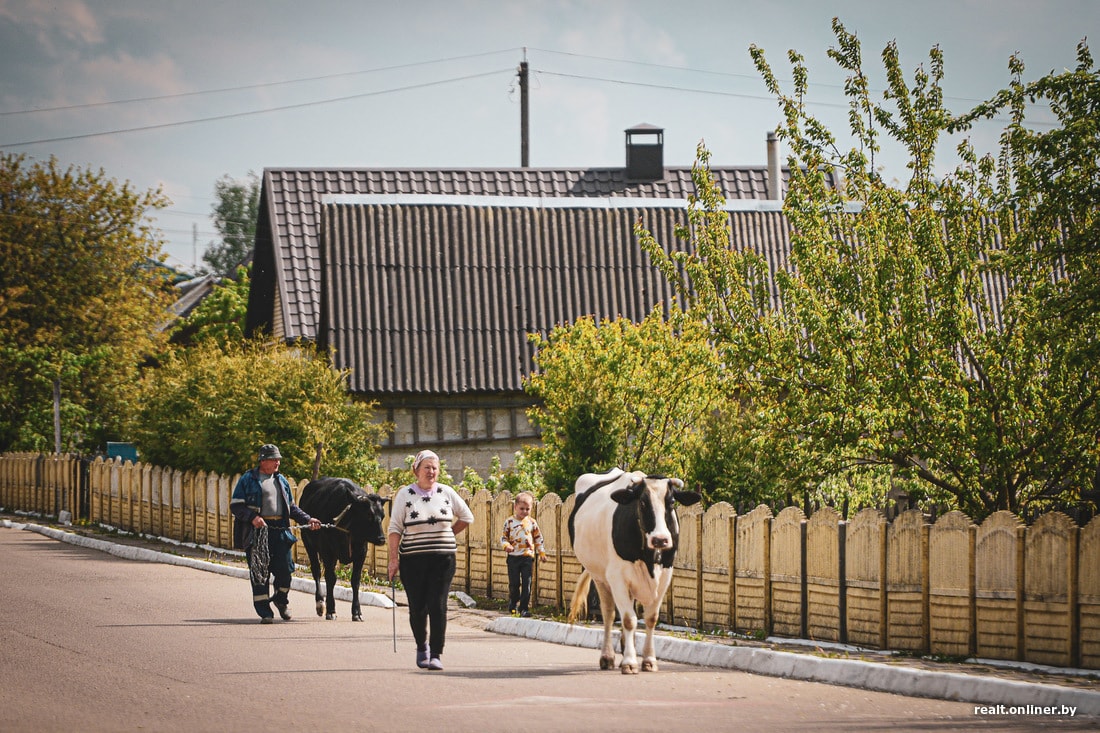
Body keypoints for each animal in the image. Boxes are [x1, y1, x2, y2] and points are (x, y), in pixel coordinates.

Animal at [299, 477, 389, 620]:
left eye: (383, 516)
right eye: (368, 515)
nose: (381, 539)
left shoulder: (361, 553)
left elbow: (355, 581)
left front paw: (357, 612)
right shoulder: (328, 552)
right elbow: (331, 578)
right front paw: (331, 610)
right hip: (308, 543)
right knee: (316, 571)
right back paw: (320, 603)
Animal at [572, 468, 699, 673]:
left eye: (672, 502)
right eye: (643, 502)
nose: (660, 539)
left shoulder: (665, 576)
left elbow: (651, 618)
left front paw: (649, 660)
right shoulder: (617, 577)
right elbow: (628, 619)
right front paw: (630, 662)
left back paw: (624, 647)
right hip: (599, 577)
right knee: (609, 614)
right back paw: (607, 656)